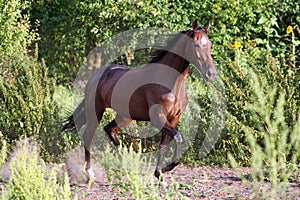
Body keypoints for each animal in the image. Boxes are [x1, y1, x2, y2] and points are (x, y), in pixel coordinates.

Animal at [62, 19, 216, 180]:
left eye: (209, 44)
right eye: (196, 44)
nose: (211, 74)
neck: (170, 84)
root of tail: (96, 75)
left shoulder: (174, 118)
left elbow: (164, 145)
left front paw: (159, 173)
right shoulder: (158, 117)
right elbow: (178, 137)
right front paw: (166, 169)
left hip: (125, 116)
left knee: (110, 130)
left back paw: (125, 166)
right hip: (96, 112)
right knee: (88, 137)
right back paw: (89, 173)